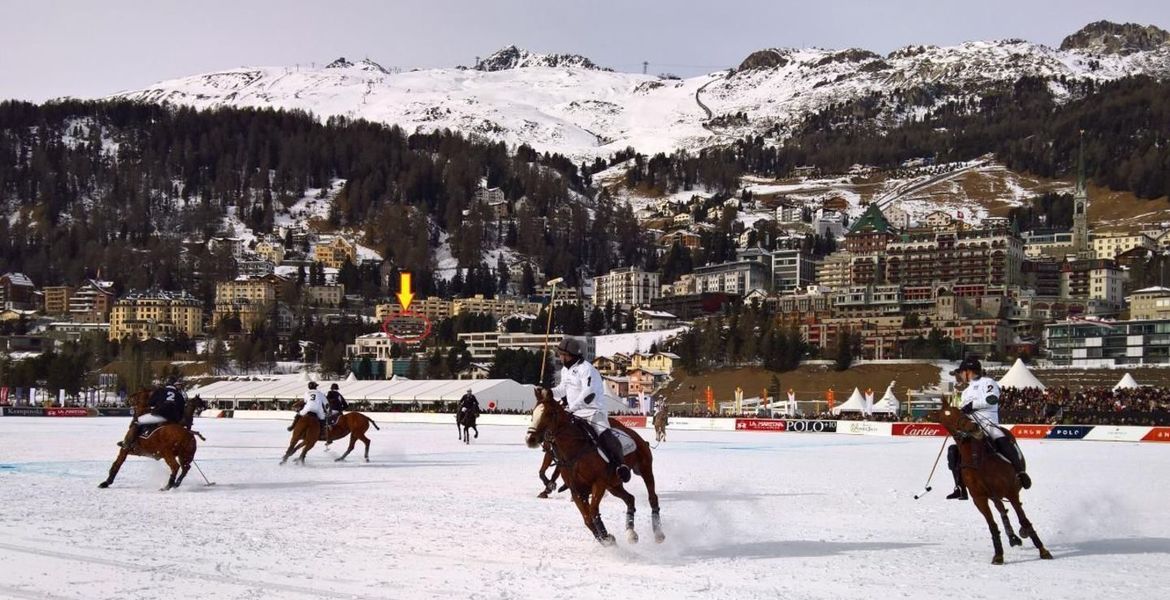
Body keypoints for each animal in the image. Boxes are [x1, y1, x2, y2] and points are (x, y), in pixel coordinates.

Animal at [526, 385, 664, 545]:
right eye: (533, 412)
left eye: (549, 413)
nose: (530, 439)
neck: (575, 449)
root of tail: (636, 436)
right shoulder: (577, 490)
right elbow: (587, 519)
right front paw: (606, 538)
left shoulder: (598, 482)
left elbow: (593, 512)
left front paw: (607, 537)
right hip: (613, 484)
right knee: (630, 498)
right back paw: (631, 533)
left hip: (644, 468)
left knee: (652, 497)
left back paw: (658, 533)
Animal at [935, 407, 1057, 561]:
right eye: (944, 419)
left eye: (959, 412)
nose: (974, 427)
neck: (977, 460)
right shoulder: (979, 498)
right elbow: (992, 524)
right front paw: (999, 554)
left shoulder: (1010, 492)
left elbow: (1023, 519)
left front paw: (1043, 551)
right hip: (993, 494)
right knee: (1001, 508)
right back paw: (1012, 536)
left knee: (1010, 508)